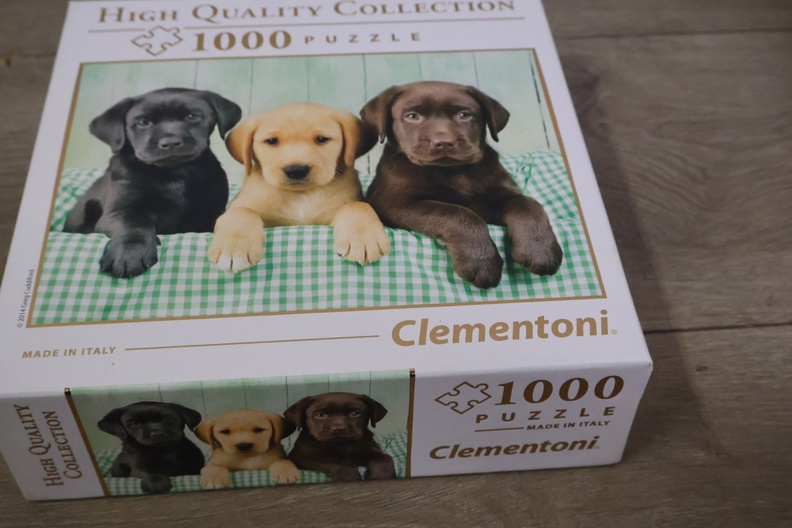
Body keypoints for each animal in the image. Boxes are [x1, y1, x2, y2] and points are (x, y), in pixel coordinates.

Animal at [64, 87, 242, 278]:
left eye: (192, 116)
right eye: (143, 122)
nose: (170, 142)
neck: (174, 173)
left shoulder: (211, 212)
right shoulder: (118, 212)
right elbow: (136, 223)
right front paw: (130, 254)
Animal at [208, 102, 390, 273]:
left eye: (322, 139)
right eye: (271, 141)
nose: (296, 170)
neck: (301, 195)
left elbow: (357, 206)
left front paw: (364, 240)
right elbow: (241, 211)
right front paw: (234, 249)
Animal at [360, 81, 563, 289]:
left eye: (464, 115)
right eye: (412, 116)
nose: (444, 142)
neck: (455, 171)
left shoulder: (502, 194)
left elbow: (528, 204)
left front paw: (539, 251)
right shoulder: (394, 202)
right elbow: (457, 213)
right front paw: (481, 261)